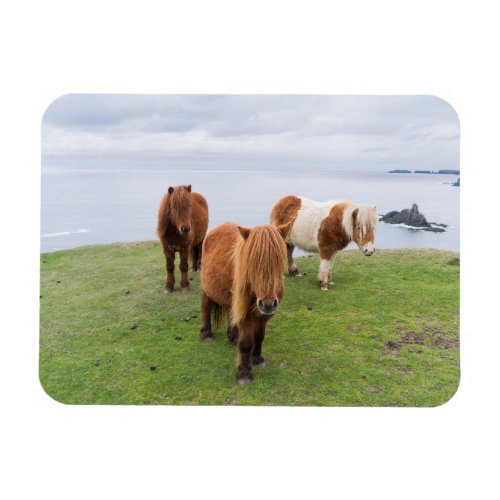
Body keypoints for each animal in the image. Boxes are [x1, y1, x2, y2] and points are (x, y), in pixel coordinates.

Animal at [199, 221, 292, 384]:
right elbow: (246, 343)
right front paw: (243, 373)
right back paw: (206, 334)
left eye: (279, 260)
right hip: (206, 290)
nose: (267, 304)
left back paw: (233, 336)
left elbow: (259, 337)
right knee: (205, 309)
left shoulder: (264, 316)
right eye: (252, 263)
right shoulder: (246, 316)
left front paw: (258, 359)